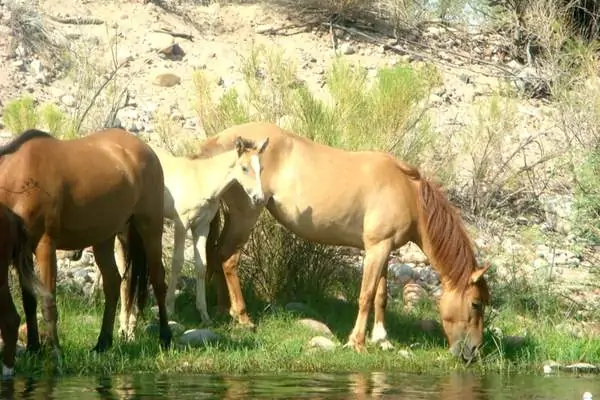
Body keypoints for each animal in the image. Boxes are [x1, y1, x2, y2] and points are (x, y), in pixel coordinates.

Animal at [195, 120, 490, 360]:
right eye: (475, 304)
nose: (473, 352)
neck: (407, 191)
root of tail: (216, 141)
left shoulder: (383, 249)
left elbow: (381, 295)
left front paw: (382, 339)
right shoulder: (376, 249)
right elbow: (366, 295)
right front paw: (357, 342)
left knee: (217, 254)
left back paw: (223, 310)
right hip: (245, 216)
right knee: (228, 258)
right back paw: (242, 317)